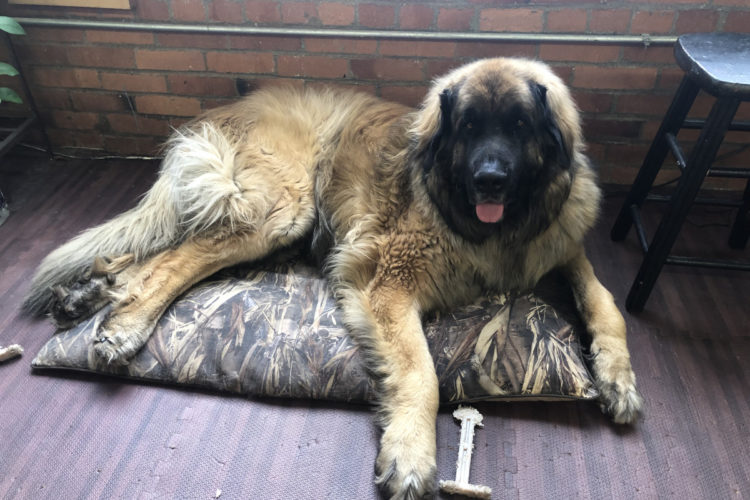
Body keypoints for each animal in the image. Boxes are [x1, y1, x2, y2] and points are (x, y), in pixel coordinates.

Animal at [26, 59, 644, 500]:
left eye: (518, 127)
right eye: (470, 128)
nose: (489, 179)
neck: (498, 231)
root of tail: (229, 107)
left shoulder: (561, 244)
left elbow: (604, 299)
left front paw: (618, 377)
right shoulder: (386, 281)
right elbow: (423, 373)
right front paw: (411, 454)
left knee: (145, 256)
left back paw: (86, 297)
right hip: (281, 208)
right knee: (177, 258)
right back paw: (123, 325)